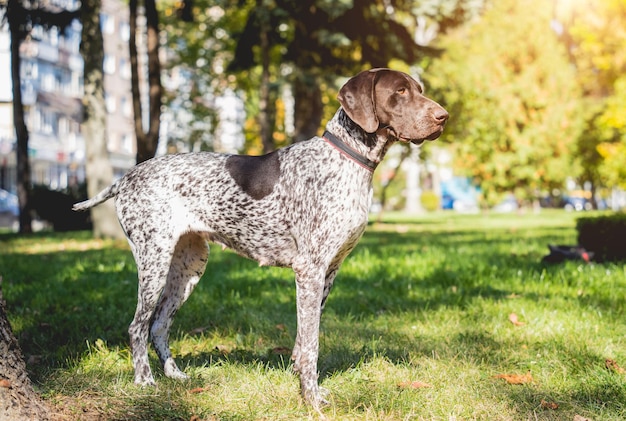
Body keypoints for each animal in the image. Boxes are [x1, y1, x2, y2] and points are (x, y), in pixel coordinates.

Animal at [73, 69, 446, 406]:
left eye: (419, 89)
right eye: (399, 91)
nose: (443, 116)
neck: (346, 159)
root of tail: (126, 177)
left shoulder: (328, 272)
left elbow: (303, 339)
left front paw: (305, 385)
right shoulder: (310, 271)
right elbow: (311, 345)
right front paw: (311, 400)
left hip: (188, 267)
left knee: (159, 325)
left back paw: (175, 376)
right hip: (154, 261)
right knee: (137, 326)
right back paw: (144, 381)